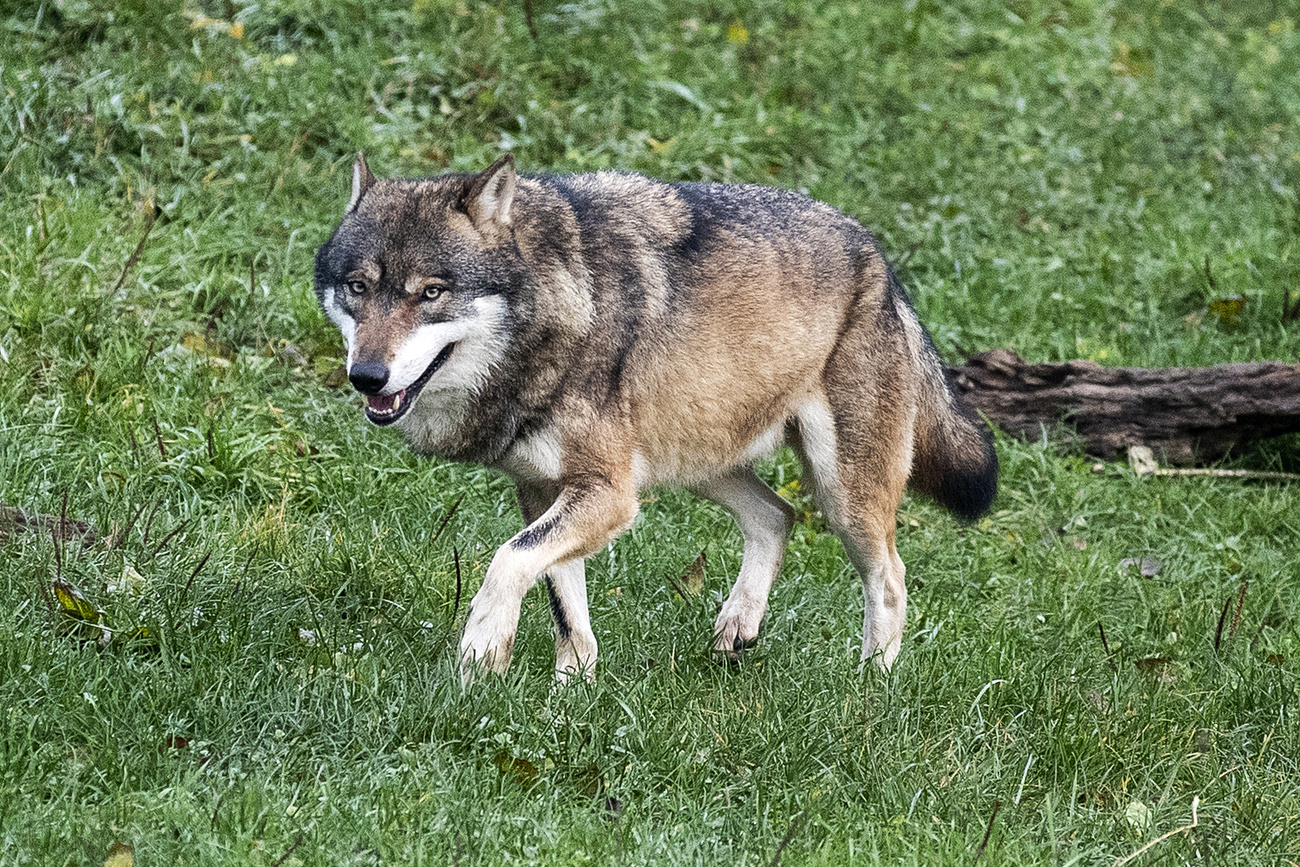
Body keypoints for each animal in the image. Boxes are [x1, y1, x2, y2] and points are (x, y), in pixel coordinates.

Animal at [312, 154, 993, 686]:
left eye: (430, 293)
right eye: (358, 288)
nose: (366, 376)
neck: (559, 314)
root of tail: (880, 261)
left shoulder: (609, 495)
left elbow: (507, 561)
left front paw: (483, 650)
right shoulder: (543, 489)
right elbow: (564, 604)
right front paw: (571, 694)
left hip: (841, 495)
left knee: (890, 577)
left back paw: (870, 686)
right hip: (699, 460)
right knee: (777, 516)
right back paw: (737, 627)